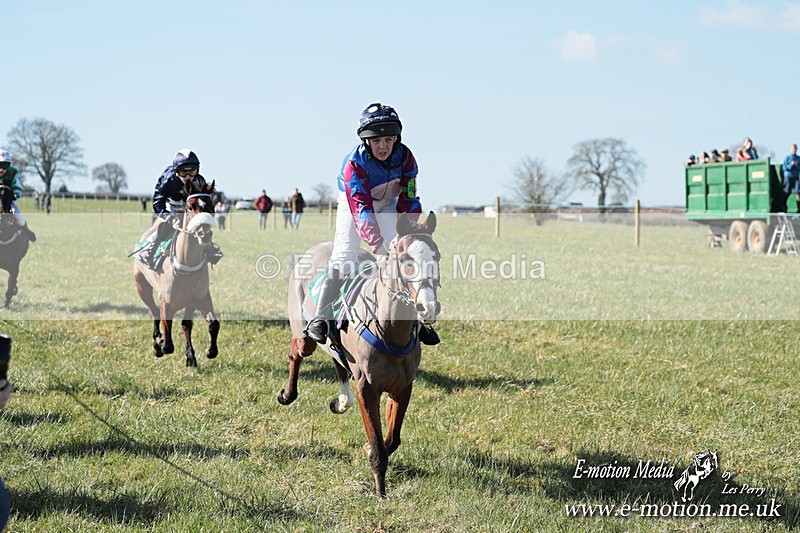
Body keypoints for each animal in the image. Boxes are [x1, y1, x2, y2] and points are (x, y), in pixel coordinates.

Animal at [133, 181, 220, 367]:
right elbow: (168, 344)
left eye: (211, 206)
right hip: (142, 287)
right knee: (153, 312)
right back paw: (156, 341)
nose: (204, 233)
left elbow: (207, 324)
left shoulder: (198, 298)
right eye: (190, 206)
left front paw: (203, 353)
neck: (186, 266)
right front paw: (160, 344)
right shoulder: (166, 302)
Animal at [278, 212, 441, 497]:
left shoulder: (403, 386)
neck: (390, 330)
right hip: (303, 334)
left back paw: (342, 401)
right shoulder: (367, 387)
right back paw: (288, 394)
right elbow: (377, 445)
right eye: (404, 259)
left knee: (338, 360)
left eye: (437, 256)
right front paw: (380, 492)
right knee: (296, 354)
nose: (428, 306)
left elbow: (392, 439)